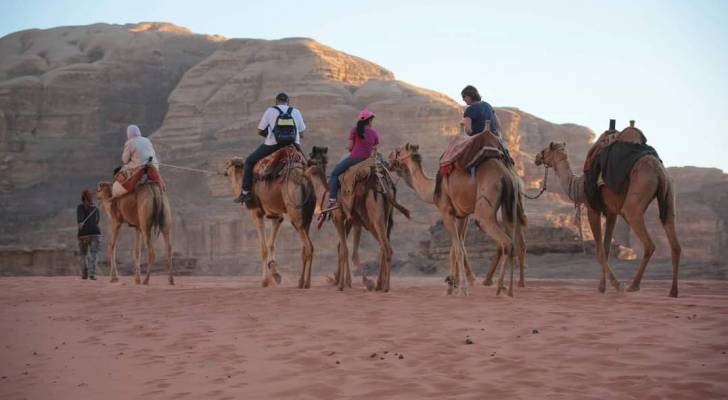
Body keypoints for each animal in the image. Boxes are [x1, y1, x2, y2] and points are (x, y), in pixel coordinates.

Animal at [222, 155, 312, 288]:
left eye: (228, 166)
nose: (224, 172)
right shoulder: (276, 215)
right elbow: (271, 244)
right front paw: (275, 274)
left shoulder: (256, 213)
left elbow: (263, 248)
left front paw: (265, 281)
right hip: (306, 215)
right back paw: (304, 281)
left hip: (295, 212)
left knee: (308, 245)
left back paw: (305, 283)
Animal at [304, 148, 406, 292]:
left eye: (308, 162)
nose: (302, 174)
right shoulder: (353, 221)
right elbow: (343, 247)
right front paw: (345, 281)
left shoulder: (338, 217)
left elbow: (344, 249)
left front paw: (344, 284)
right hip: (383, 216)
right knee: (383, 245)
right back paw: (380, 284)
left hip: (374, 217)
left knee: (386, 247)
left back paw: (385, 286)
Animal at [390, 142, 528, 296]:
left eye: (398, 151)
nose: (389, 160)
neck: (433, 188)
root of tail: (506, 176)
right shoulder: (462, 214)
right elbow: (456, 248)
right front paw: (452, 286)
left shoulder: (446, 212)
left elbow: (457, 249)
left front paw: (462, 288)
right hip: (511, 205)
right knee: (516, 240)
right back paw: (511, 289)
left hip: (485, 210)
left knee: (505, 241)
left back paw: (499, 287)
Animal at [532, 142, 680, 296]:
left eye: (545, 149)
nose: (536, 157)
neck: (579, 186)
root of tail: (658, 170)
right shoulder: (611, 212)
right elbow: (607, 249)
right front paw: (602, 286)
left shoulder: (593, 209)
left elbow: (599, 251)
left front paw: (616, 285)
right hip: (669, 194)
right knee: (675, 242)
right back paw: (673, 291)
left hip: (634, 203)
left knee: (649, 243)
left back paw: (633, 286)